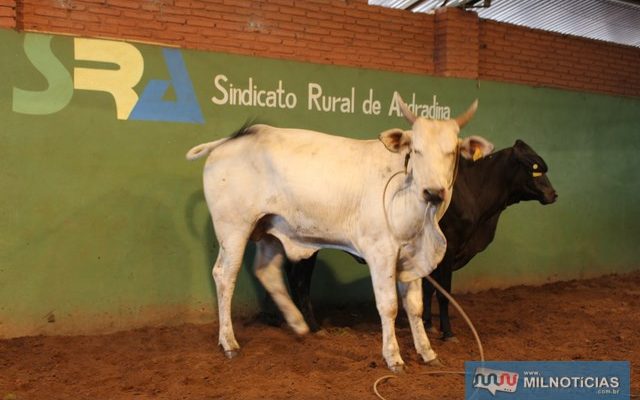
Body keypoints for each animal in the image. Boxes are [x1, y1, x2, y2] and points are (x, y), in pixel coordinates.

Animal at [188, 95, 492, 370]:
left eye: (452, 151)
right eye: (416, 150)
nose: (433, 192)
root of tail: (230, 140)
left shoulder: (412, 256)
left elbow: (415, 306)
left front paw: (427, 353)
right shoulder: (380, 252)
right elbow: (389, 305)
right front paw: (393, 357)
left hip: (271, 228)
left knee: (266, 271)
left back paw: (298, 324)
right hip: (233, 228)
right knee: (225, 276)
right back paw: (229, 342)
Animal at [274, 141, 556, 338]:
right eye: (533, 168)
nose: (553, 194)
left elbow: (429, 290)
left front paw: (429, 324)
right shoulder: (449, 248)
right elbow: (444, 293)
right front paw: (447, 332)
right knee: (300, 282)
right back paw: (315, 327)